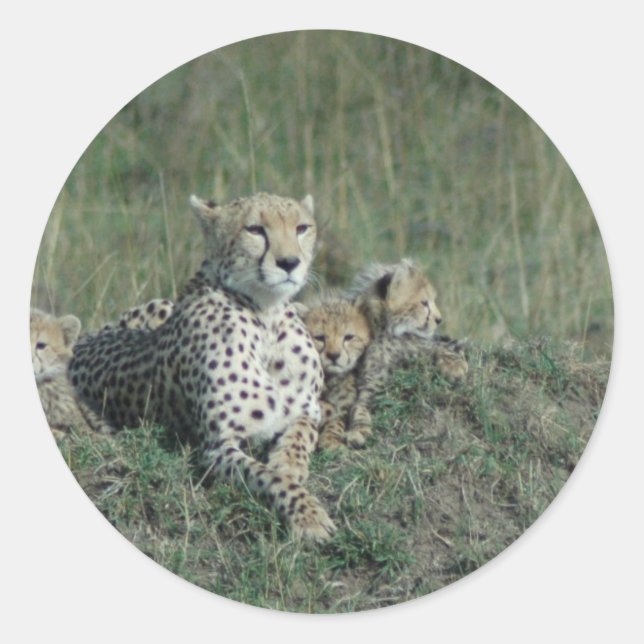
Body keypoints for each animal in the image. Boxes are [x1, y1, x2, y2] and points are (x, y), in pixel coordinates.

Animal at [69, 192, 336, 540]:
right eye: (255, 229)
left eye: (302, 227)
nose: (290, 262)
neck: (267, 318)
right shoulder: (218, 447)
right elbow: (268, 478)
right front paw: (308, 515)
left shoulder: (306, 409)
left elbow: (301, 434)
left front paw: (289, 463)